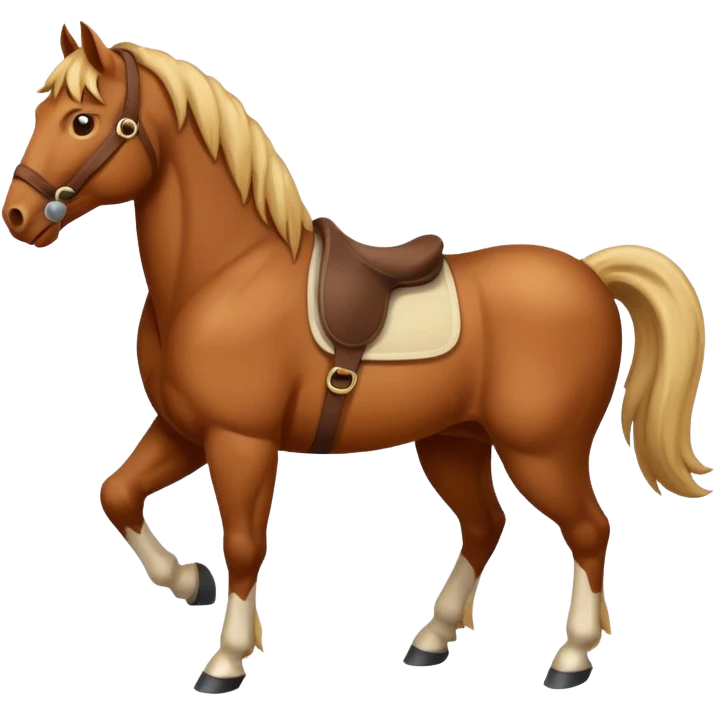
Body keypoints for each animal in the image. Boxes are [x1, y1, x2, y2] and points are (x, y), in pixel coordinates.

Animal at [2, 22, 711, 695]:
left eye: (82, 120)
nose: (18, 216)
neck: (223, 277)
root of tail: (591, 276)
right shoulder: (184, 430)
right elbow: (117, 494)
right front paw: (188, 581)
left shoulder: (240, 441)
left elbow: (243, 544)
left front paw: (227, 661)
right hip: (454, 441)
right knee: (485, 525)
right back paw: (431, 641)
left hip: (543, 451)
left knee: (589, 531)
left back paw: (570, 659)